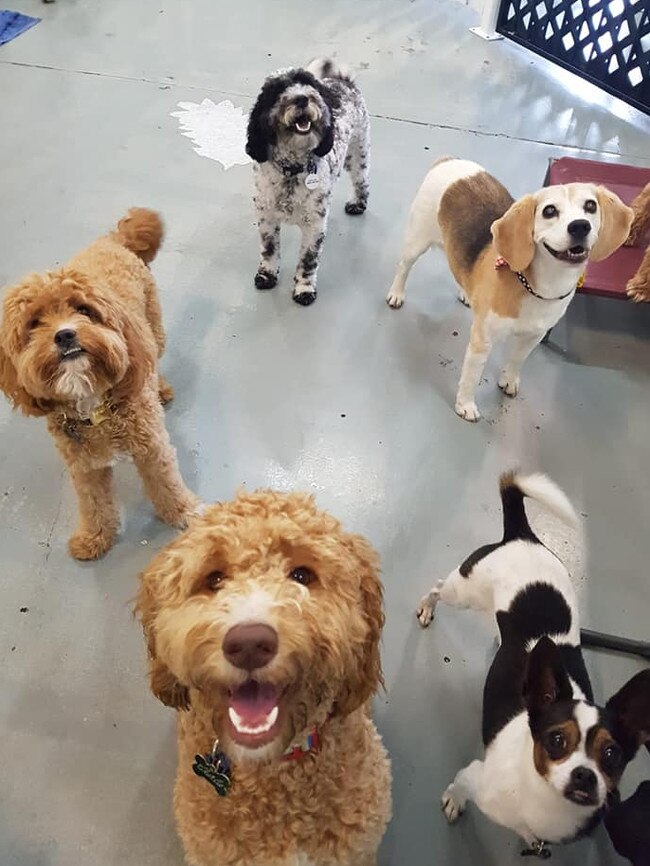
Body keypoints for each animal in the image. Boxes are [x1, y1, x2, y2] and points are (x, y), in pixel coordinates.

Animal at [0, 209, 197, 560]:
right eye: (34, 323)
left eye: (84, 310)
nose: (65, 335)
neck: (94, 403)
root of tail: (113, 238)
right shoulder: (83, 467)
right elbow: (93, 504)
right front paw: (94, 537)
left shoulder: (153, 447)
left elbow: (167, 484)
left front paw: (184, 513)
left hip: (153, 329)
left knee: (152, 357)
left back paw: (160, 387)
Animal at [244, 59, 368, 306]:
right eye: (278, 90)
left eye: (307, 83)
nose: (302, 98)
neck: (292, 170)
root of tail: (342, 80)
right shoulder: (266, 217)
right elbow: (269, 249)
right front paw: (267, 275)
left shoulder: (314, 226)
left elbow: (308, 260)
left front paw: (304, 289)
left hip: (357, 153)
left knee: (361, 181)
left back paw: (358, 203)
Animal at [388, 160, 632, 424]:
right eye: (549, 211)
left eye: (590, 206)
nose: (580, 226)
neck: (538, 287)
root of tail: (450, 160)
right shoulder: (482, 341)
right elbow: (471, 377)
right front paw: (465, 405)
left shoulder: (533, 337)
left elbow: (516, 360)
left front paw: (508, 380)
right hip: (416, 242)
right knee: (404, 268)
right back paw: (396, 294)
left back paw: (465, 292)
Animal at [416, 472, 648, 856]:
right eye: (556, 740)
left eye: (611, 754)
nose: (585, 775)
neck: (543, 802)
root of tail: (523, 535)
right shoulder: (473, 775)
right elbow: (458, 788)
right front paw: (453, 802)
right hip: (462, 591)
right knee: (436, 587)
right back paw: (425, 608)